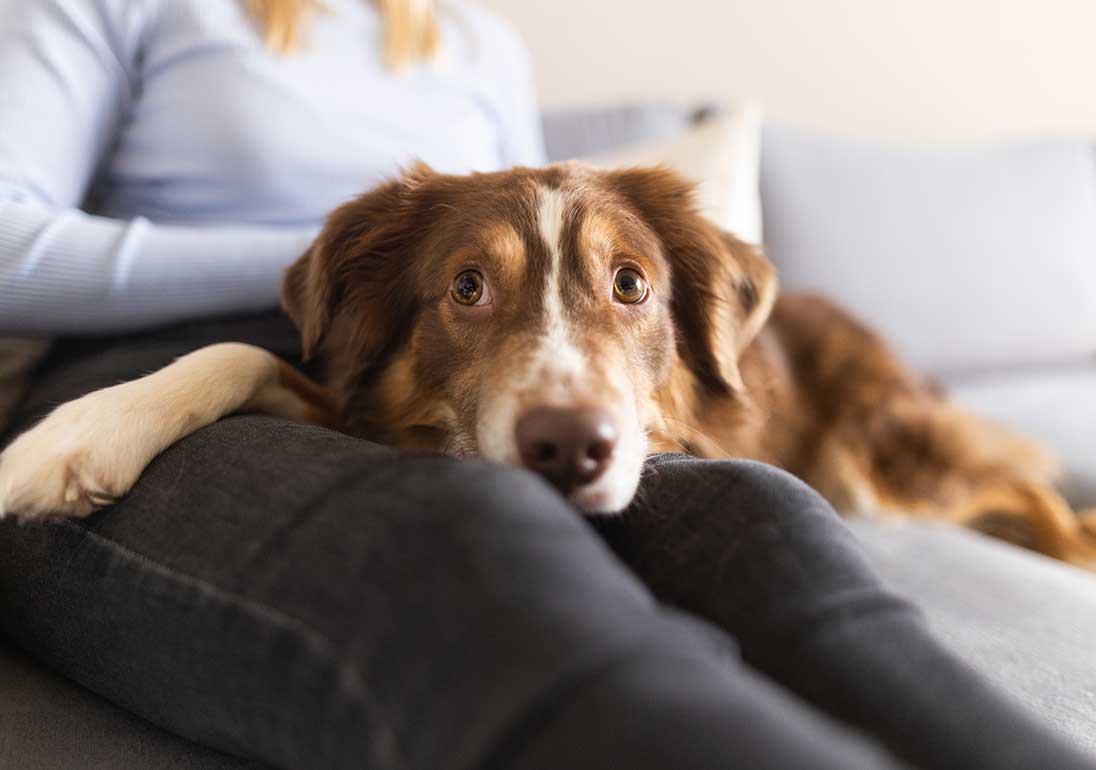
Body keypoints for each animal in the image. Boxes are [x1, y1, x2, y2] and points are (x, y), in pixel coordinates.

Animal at [2, 164, 1096, 565]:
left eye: (631, 284)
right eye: (467, 286)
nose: (571, 448)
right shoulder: (357, 404)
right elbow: (230, 347)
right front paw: (75, 437)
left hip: (884, 458)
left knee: (1026, 488)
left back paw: (1066, 547)